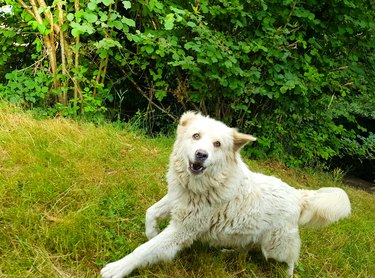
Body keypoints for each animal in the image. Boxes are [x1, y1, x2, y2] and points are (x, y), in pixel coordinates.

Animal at [100, 112, 352, 276]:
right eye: (196, 136)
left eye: (217, 144)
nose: (201, 155)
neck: (204, 184)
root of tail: (298, 194)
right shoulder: (177, 200)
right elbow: (150, 212)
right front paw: (151, 231)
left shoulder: (182, 230)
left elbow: (144, 251)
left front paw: (117, 268)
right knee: (245, 246)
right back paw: (226, 251)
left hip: (276, 247)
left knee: (290, 258)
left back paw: (288, 274)